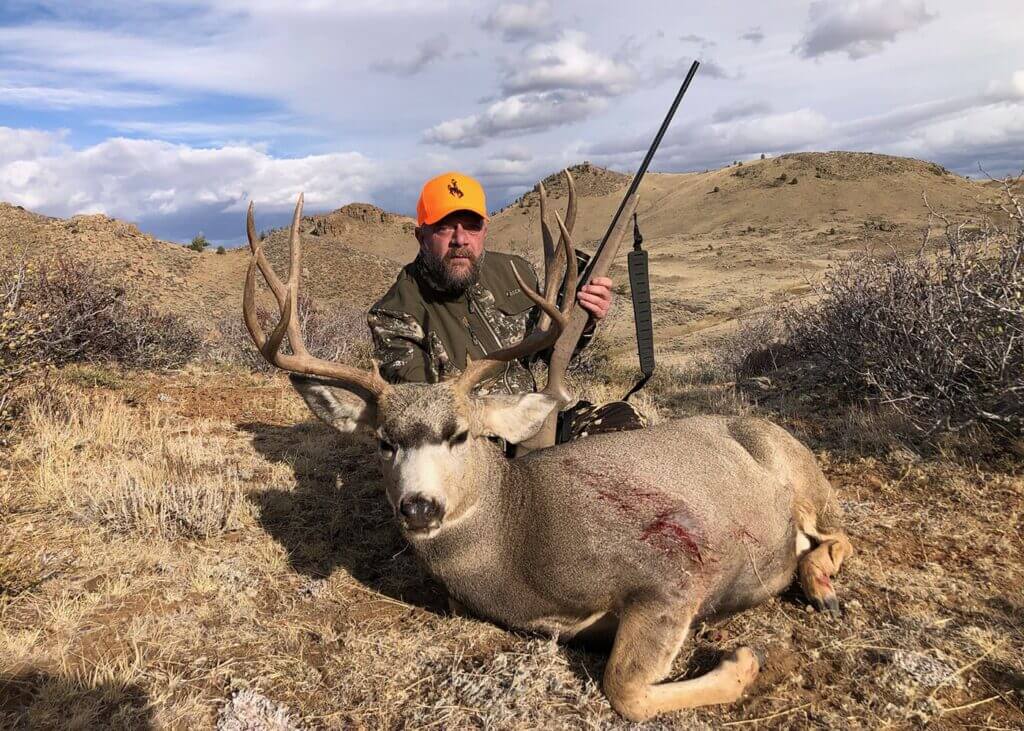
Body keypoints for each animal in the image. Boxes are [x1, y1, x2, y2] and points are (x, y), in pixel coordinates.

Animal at [243, 186, 851, 716]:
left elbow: (623, 689)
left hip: (799, 471)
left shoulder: (675, 570)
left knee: (836, 532)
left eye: (460, 434)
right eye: (383, 442)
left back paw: (821, 585)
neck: (521, 540)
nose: (418, 506)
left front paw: (745, 661)